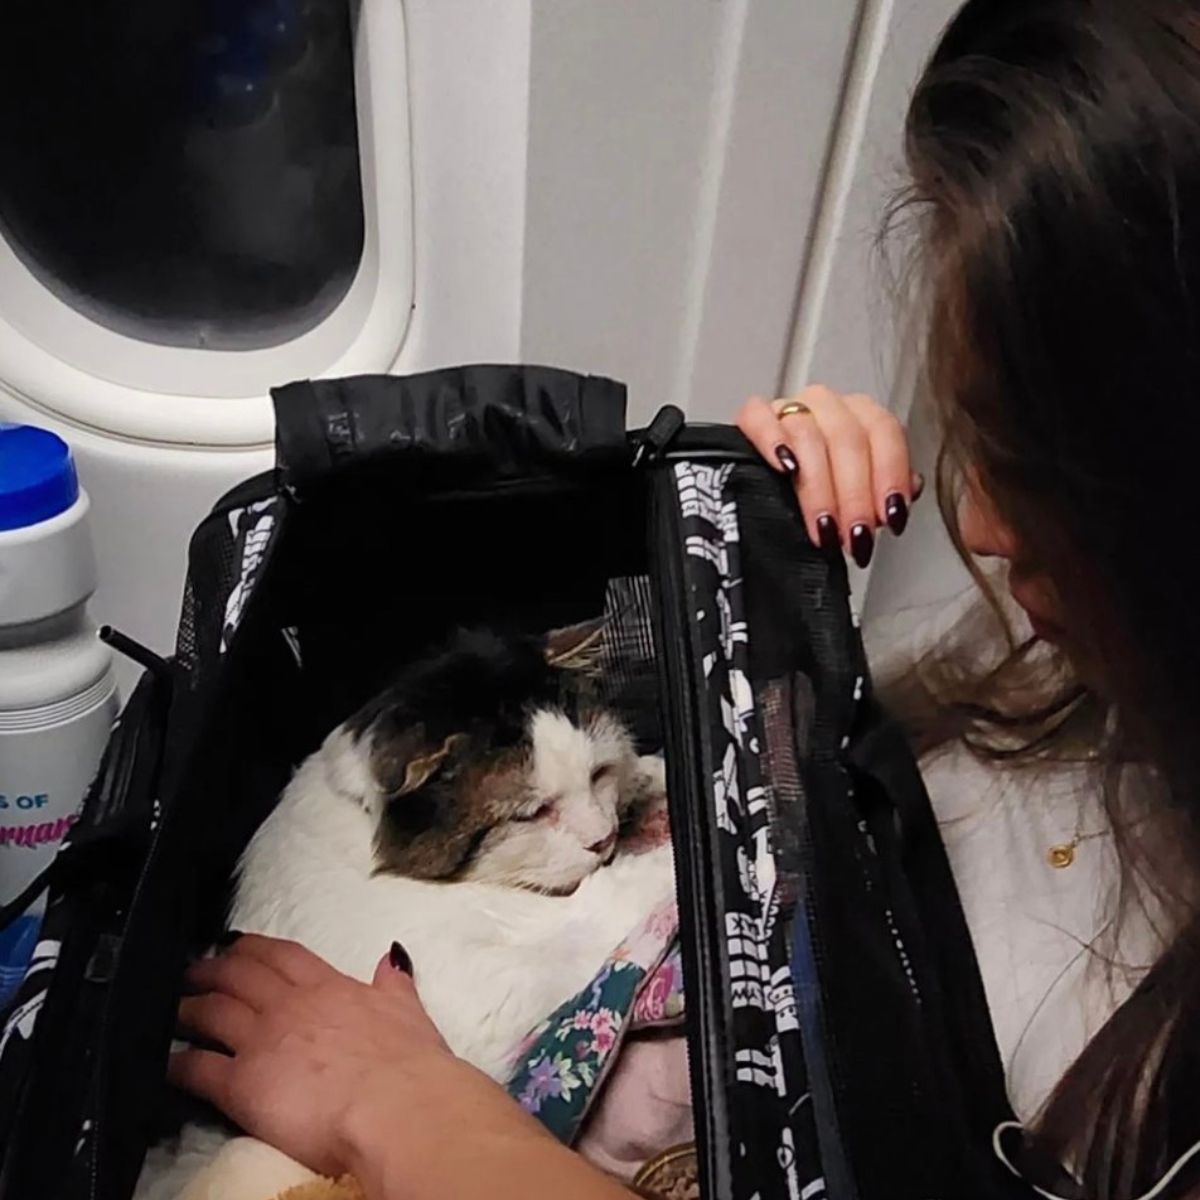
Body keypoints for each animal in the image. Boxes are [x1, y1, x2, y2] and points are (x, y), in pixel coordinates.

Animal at [139, 628, 676, 1200]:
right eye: (532, 813)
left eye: (598, 774)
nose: (604, 837)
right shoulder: (492, 993)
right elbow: (609, 897)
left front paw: (656, 778)